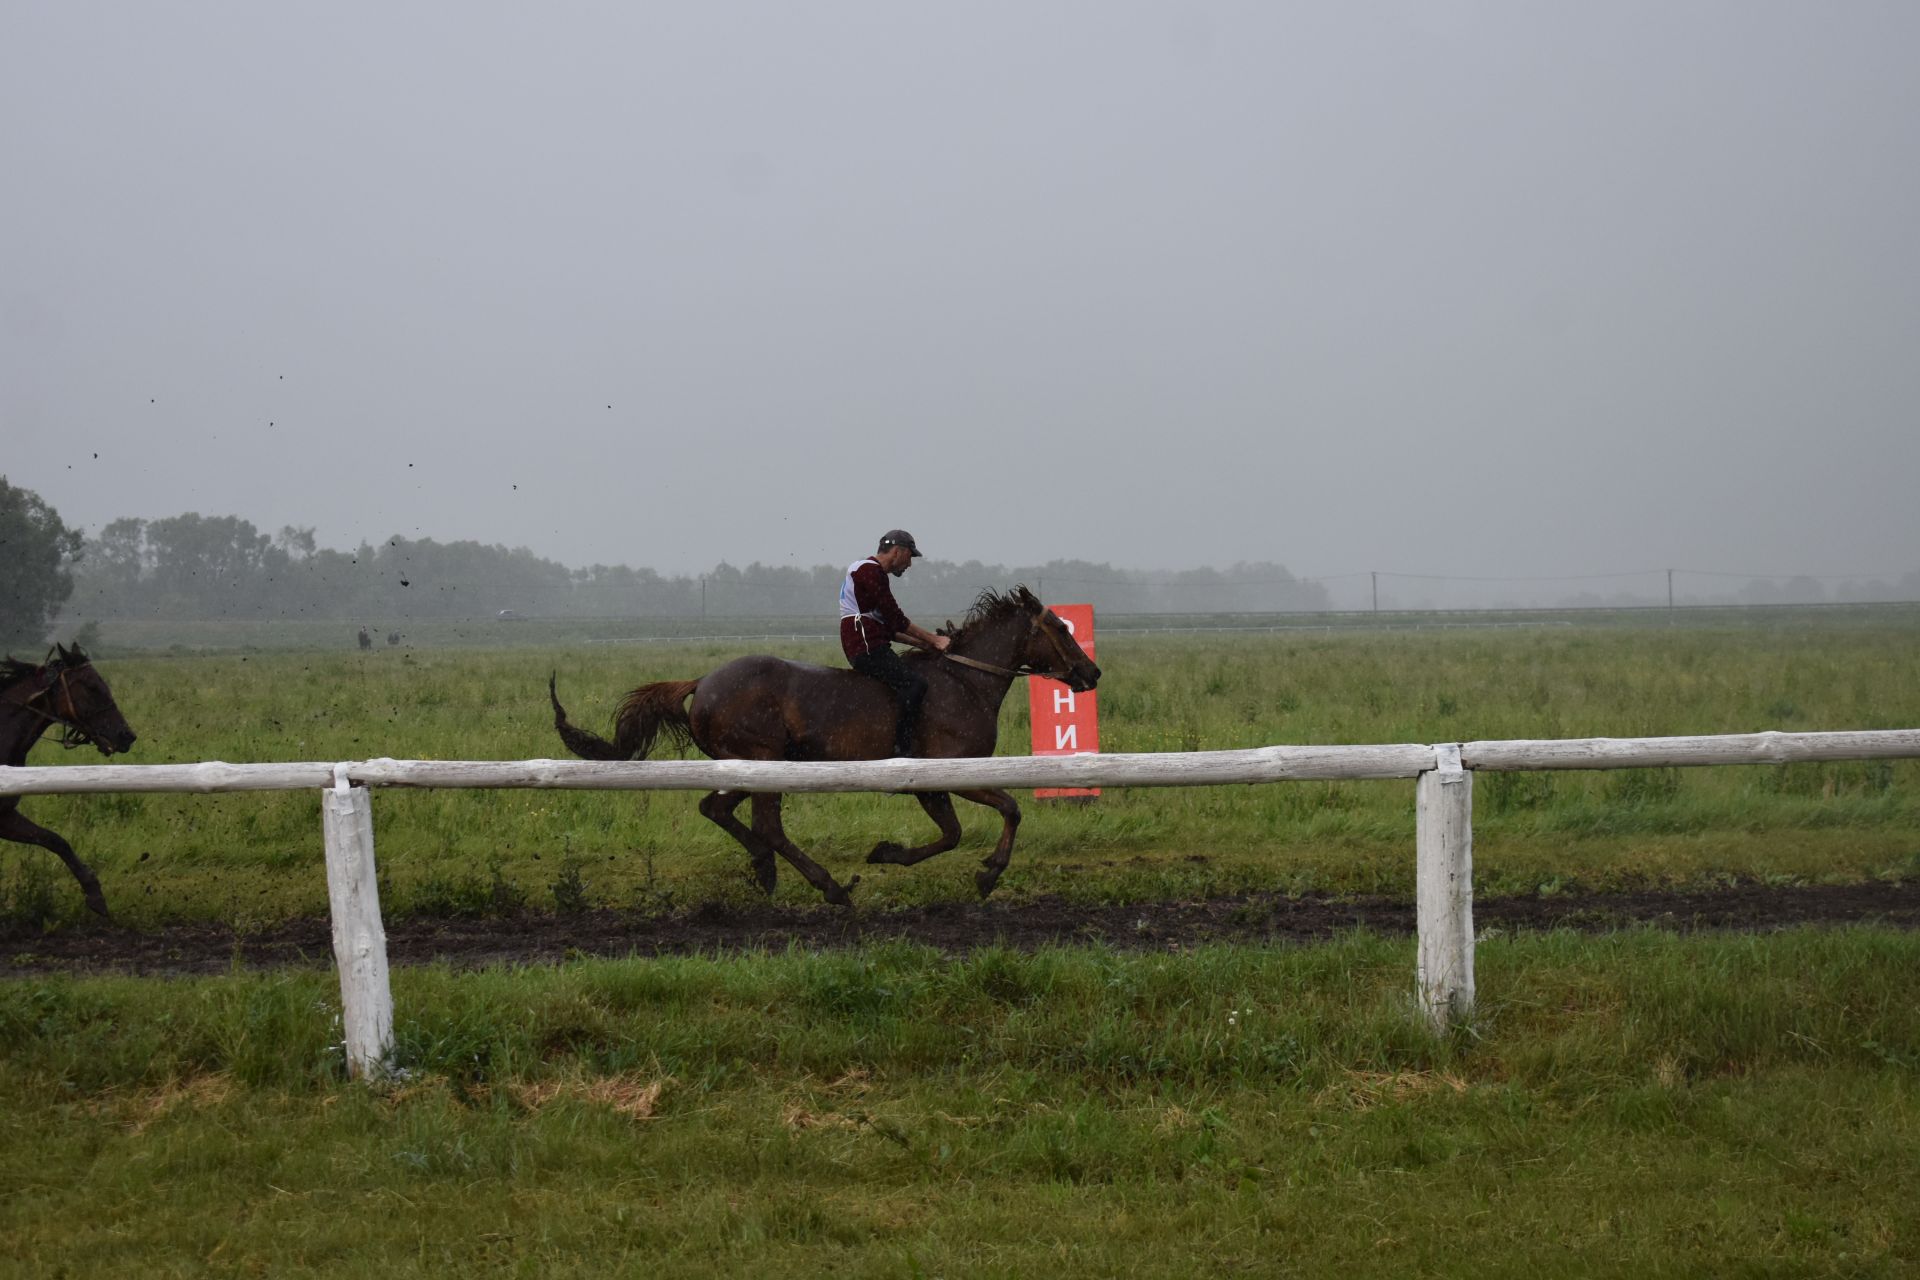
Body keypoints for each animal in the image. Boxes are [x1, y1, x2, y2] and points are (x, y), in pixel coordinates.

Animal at [549, 587, 1105, 905]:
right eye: (1060, 627)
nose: (1092, 672)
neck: (965, 681)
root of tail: (702, 682)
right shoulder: (949, 773)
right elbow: (1006, 811)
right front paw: (988, 874)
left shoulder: (933, 785)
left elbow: (952, 834)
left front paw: (887, 853)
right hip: (764, 761)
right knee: (768, 826)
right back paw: (829, 886)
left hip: (746, 765)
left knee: (718, 809)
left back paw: (766, 869)